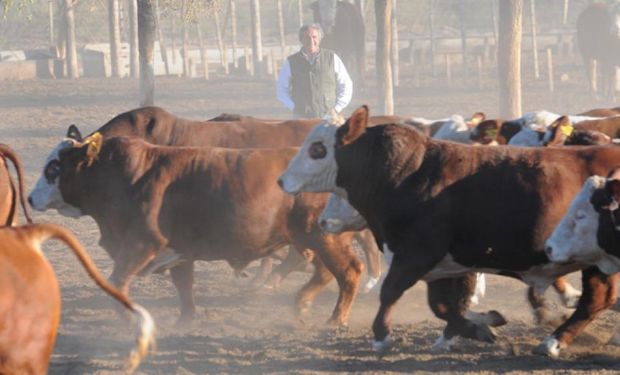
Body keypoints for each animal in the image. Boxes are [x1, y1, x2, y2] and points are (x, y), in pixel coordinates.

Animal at [280, 106, 620, 358]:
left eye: (317, 149)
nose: (282, 181)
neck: (406, 174)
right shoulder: (445, 266)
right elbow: (444, 306)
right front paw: (477, 326)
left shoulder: (416, 254)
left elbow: (392, 291)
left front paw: (382, 335)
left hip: (596, 259)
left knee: (596, 299)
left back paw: (552, 342)